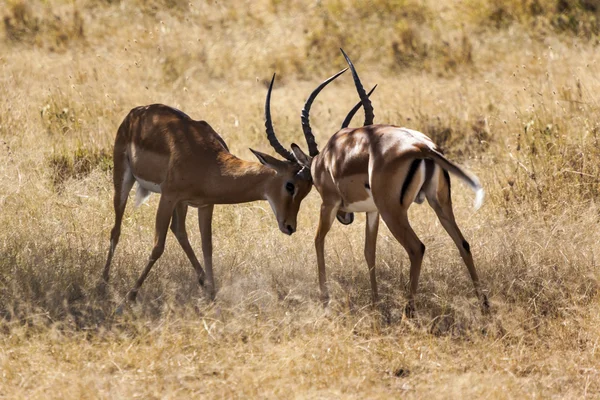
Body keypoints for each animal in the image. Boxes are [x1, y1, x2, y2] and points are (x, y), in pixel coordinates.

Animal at [101, 69, 350, 300]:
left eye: (308, 190)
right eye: (290, 185)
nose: (290, 226)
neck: (209, 161)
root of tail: (137, 112)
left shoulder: (204, 204)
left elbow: (207, 246)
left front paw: (212, 294)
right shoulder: (168, 196)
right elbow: (157, 246)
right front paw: (131, 295)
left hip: (181, 204)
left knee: (179, 230)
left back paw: (202, 281)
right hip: (124, 179)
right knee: (116, 228)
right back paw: (102, 281)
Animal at [288, 49, 490, 316]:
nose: (345, 218)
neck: (328, 156)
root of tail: (422, 147)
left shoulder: (328, 204)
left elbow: (318, 241)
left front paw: (325, 301)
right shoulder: (372, 211)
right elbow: (369, 252)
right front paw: (375, 303)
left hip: (392, 211)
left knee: (417, 248)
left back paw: (408, 312)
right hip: (439, 204)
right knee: (463, 244)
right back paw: (484, 306)